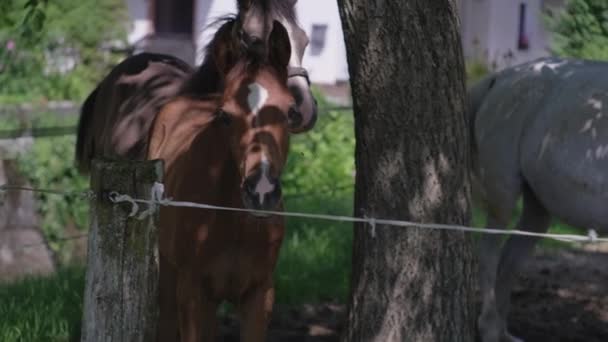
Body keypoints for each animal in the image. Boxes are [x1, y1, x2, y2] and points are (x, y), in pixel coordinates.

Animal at [150, 20, 294, 340]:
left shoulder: (260, 294)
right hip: (168, 271)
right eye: (225, 116)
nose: (261, 191)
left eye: (291, 112)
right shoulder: (192, 293)